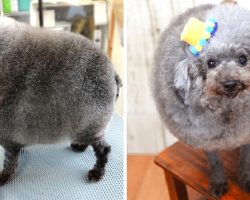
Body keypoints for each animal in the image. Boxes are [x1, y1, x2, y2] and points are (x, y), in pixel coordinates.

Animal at [0, 17, 122, 186]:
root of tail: (112, 73)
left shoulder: (8, 134)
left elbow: (9, 161)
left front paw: (4, 176)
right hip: (84, 122)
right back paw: (80, 146)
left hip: (91, 122)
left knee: (103, 150)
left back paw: (97, 172)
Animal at [151, 3, 250, 198]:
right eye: (210, 63)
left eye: (243, 59)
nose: (229, 83)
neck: (227, 107)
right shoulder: (204, 136)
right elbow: (215, 162)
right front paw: (218, 183)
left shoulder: (246, 134)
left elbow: (245, 159)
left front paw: (246, 180)